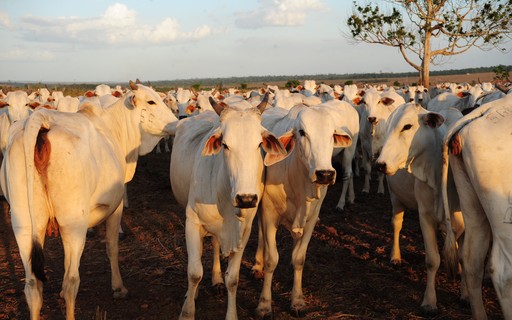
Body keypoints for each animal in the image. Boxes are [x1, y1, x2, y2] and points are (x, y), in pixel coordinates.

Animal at [0, 81, 178, 318]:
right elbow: (112, 246)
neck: (114, 127)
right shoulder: (115, 206)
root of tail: (40, 120)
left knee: (32, 287)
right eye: (151, 101)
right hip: (74, 224)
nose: (176, 123)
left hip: (25, 226)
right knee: (71, 283)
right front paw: (119, 287)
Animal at [170, 94, 292, 318]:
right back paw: (194, 292)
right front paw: (187, 312)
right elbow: (194, 273)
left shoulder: (243, 231)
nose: (246, 199)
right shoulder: (192, 222)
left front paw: (231, 313)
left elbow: (233, 279)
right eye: (225, 145)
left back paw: (216, 279)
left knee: (216, 244)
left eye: (259, 144)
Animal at [254, 103, 358, 318]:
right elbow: (271, 259)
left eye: (332, 134)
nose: (325, 174)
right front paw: (264, 304)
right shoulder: (269, 215)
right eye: (302, 132)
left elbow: (299, 258)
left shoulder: (311, 220)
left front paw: (298, 300)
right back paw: (257, 264)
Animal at [374, 103, 466, 316]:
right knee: (397, 225)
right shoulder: (425, 217)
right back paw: (395, 256)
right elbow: (432, 260)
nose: (380, 164)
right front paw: (429, 302)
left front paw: (465, 294)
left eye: (407, 126)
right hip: (395, 198)